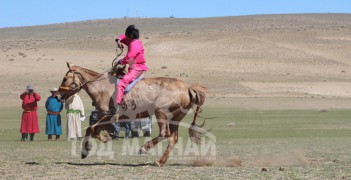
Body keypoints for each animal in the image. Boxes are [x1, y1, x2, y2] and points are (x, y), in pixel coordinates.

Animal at [56, 62, 208, 166]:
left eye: (64, 78)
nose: (57, 96)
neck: (102, 88)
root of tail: (188, 88)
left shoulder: (110, 116)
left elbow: (93, 128)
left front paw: (105, 138)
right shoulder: (104, 116)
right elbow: (90, 128)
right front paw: (84, 151)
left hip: (161, 113)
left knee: (165, 133)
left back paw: (144, 149)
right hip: (175, 118)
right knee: (173, 138)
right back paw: (160, 161)